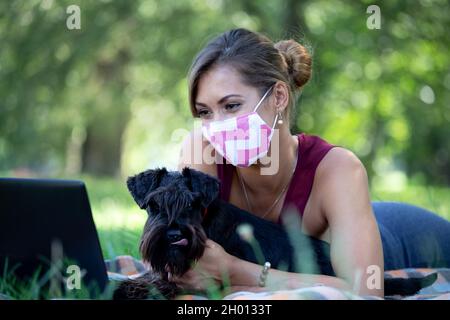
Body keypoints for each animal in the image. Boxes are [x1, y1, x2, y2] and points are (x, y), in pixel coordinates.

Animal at [112, 166, 436, 298]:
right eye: (154, 205)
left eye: (192, 204)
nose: (174, 235)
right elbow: (151, 275)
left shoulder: (203, 279)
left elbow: (164, 284)